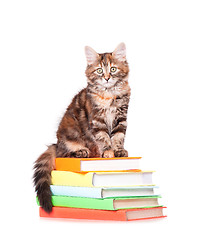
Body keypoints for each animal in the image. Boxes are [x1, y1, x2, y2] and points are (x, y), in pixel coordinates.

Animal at [33, 42, 131, 212]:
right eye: (99, 70)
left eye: (113, 69)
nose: (107, 78)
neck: (109, 94)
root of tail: (57, 143)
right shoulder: (97, 121)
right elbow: (104, 138)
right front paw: (107, 152)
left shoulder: (121, 119)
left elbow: (118, 137)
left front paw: (118, 151)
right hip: (69, 137)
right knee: (63, 154)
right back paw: (81, 152)